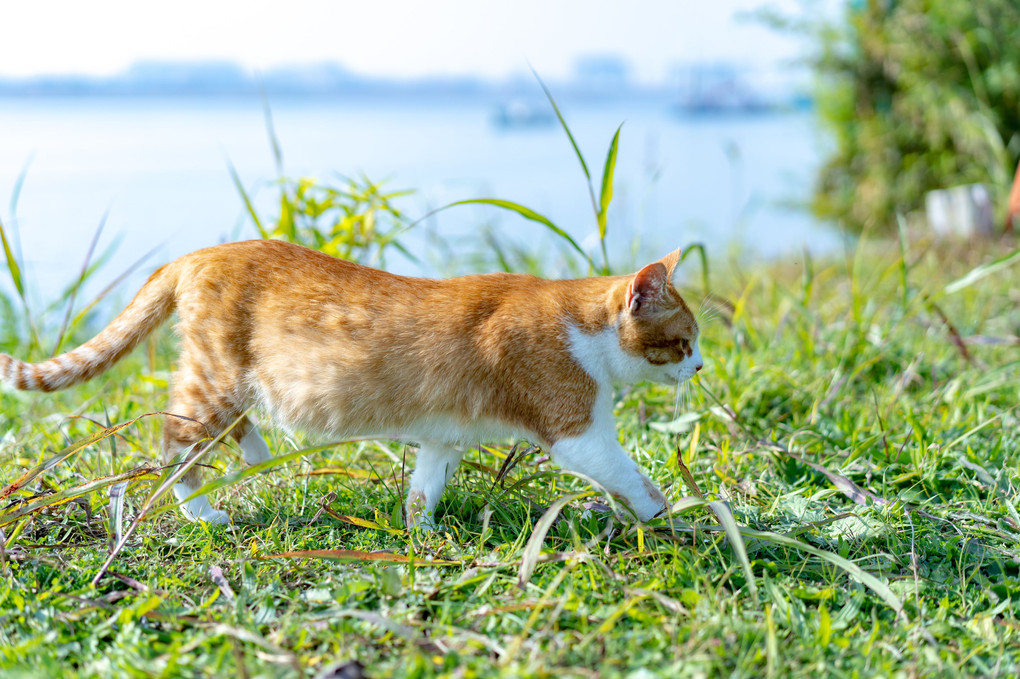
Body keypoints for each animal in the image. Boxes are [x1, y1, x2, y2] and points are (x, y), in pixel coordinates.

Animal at [0, 240, 701, 526]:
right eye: (685, 341)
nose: (700, 368)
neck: (580, 325)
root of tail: (197, 254)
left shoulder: (443, 438)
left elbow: (424, 487)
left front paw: (419, 532)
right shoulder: (579, 433)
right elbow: (637, 480)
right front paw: (680, 520)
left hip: (224, 381)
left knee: (216, 429)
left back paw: (256, 452)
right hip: (215, 379)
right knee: (174, 446)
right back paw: (203, 511)